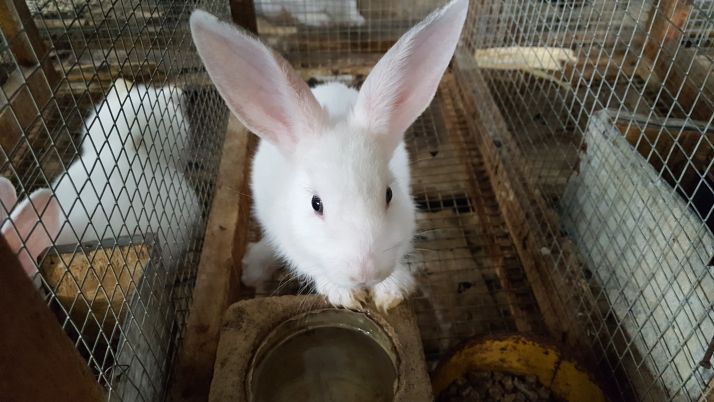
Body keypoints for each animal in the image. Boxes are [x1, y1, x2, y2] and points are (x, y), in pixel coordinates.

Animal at [189, 0, 468, 310]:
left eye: (389, 194)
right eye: (316, 203)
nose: (365, 274)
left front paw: (391, 292)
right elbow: (315, 270)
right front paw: (345, 295)